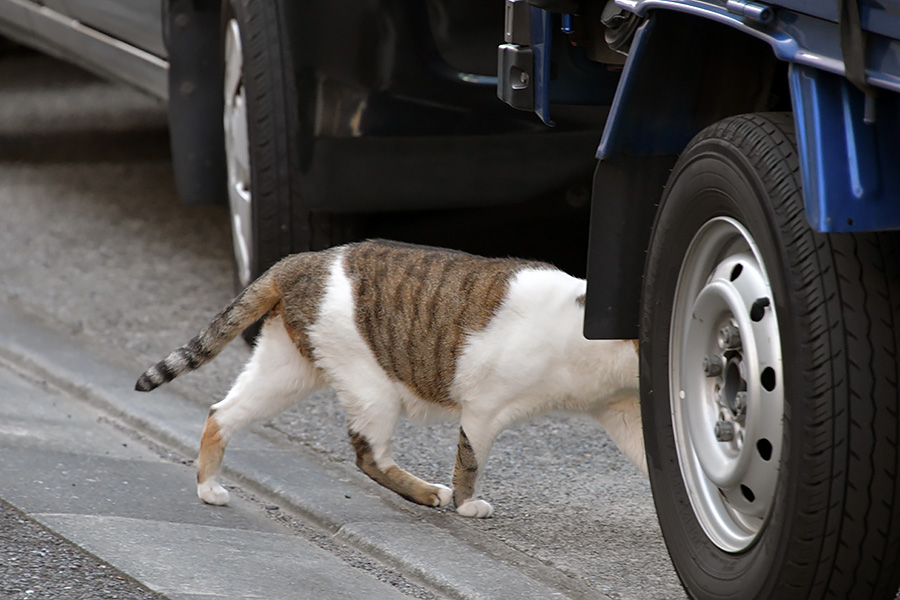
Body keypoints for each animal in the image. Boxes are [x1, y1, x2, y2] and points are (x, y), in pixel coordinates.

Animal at [135, 241, 648, 516]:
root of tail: (301, 259)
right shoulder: (485, 408)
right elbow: (470, 462)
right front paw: (467, 504)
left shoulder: (621, 413)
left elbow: (648, 452)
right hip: (371, 387)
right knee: (369, 455)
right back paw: (428, 492)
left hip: (286, 370)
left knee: (222, 413)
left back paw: (207, 487)